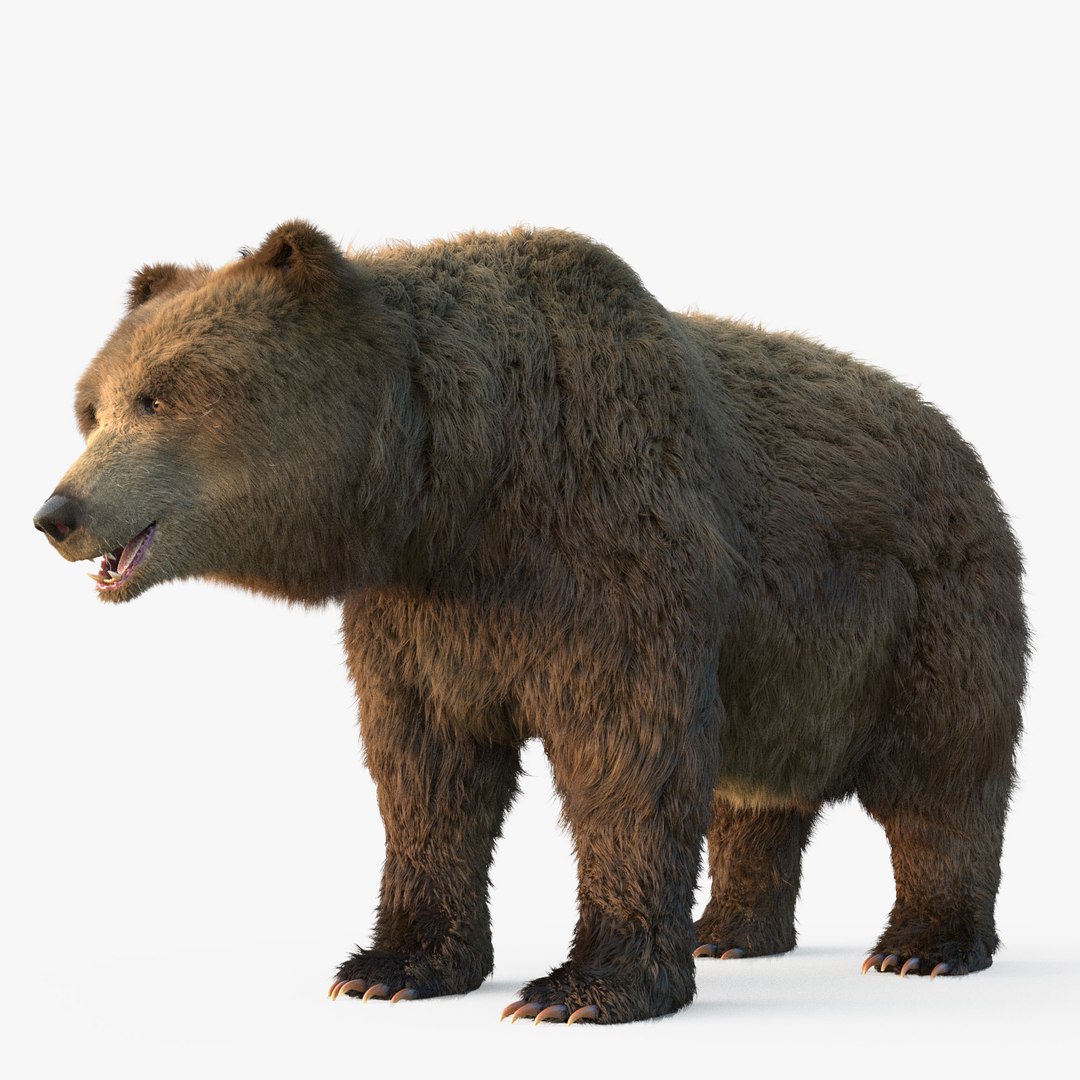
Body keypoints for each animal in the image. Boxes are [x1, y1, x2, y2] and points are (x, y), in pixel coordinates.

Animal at [34, 221, 1027, 1025]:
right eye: (92, 405)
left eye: (162, 395)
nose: (57, 512)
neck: (461, 488)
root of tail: (960, 442)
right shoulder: (423, 618)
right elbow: (426, 770)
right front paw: (389, 968)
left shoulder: (612, 555)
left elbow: (627, 759)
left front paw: (581, 990)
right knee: (757, 796)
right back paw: (731, 929)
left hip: (926, 608)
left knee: (945, 776)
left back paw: (923, 944)